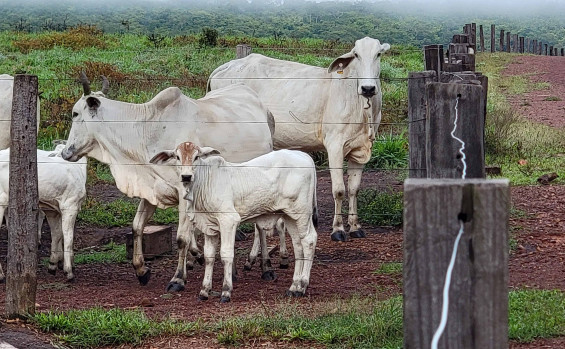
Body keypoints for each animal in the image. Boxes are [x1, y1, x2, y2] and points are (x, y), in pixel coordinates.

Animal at [0, 141, 87, 280]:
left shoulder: (53, 209)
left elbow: (57, 233)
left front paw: (54, 264)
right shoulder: (70, 205)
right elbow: (68, 235)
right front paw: (68, 270)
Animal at [61, 72, 274, 290]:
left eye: (75, 113)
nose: (65, 152)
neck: (146, 130)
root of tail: (264, 109)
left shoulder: (184, 193)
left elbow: (181, 238)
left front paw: (178, 278)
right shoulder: (151, 190)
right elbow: (137, 226)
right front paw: (141, 270)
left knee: (261, 226)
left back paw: (266, 267)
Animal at [150, 141, 318, 302]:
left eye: (196, 157)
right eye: (177, 157)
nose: (186, 176)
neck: (204, 183)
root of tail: (304, 155)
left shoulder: (228, 221)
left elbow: (225, 254)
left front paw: (226, 291)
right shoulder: (209, 226)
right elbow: (209, 256)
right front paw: (204, 291)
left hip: (302, 213)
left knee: (309, 240)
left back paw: (302, 285)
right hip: (290, 216)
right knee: (298, 245)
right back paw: (294, 287)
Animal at [209, 36, 390, 241]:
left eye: (378, 54)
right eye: (356, 54)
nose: (368, 88)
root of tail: (223, 68)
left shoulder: (360, 149)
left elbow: (353, 189)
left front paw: (355, 226)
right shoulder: (335, 145)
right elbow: (339, 190)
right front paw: (338, 229)